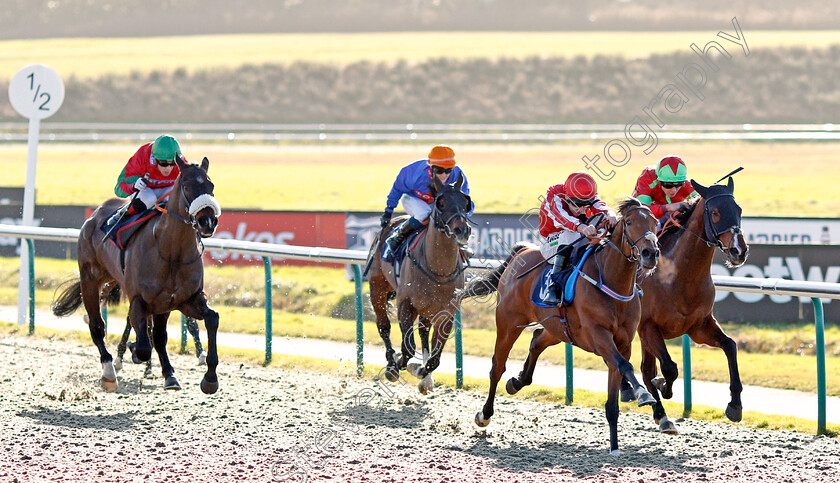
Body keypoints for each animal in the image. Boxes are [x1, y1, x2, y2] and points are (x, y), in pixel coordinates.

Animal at [50, 157, 221, 396]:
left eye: (211, 185)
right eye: (187, 186)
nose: (208, 222)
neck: (170, 251)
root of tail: (94, 215)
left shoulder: (185, 299)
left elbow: (211, 319)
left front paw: (209, 378)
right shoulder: (140, 299)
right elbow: (142, 347)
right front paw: (131, 351)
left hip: (136, 292)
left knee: (157, 336)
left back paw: (169, 375)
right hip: (89, 280)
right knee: (97, 326)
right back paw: (109, 372)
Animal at [368, 173, 472, 394]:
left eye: (465, 202)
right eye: (441, 202)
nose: (462, 230)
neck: (438, 270)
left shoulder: (446, 314)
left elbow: (434, 359)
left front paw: (422, 373)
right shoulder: (405, 304)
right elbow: (408, 347)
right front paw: (397, 367)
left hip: (427, 308)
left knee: (424, 332)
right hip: (377, 288)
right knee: (384, 326)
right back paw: (391, 361)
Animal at [460, 199, 664, 456]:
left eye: (655, 222)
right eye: (628, 222)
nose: (650, 253)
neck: (610, 281)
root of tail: (522, 252)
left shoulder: (623, 341)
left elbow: (614, 393)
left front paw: (615, 446)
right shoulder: (599, 336)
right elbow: (624, 366)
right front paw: (643, 393)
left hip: (557, 328)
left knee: (537, 340)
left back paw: (517, 382)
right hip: (508, 323)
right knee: (497, 367)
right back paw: (485, 414)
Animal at [506, 178, 748, 434]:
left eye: (739, 209)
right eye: (715, 212)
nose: (739, 250)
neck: (679, 275)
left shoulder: (698, 326)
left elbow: (730, 346)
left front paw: (735, 406)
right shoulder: (648, 327)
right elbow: (667, 368)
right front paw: (661, 391)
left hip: (563, 327)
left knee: (539, 337)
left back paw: (517, 381)